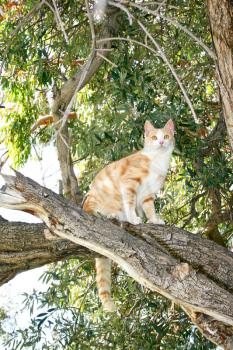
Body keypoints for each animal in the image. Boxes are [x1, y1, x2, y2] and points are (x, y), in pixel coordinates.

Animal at [83, 119, 175, 310]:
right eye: (154, 137)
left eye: (166, 136)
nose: (160, 142)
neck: (156, 160)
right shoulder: (129, 183)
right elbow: (130, 203)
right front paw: (133, 218)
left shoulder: (147, 194)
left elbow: (150, 208)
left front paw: (154, 220)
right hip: (95, 197)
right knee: (90, 208)